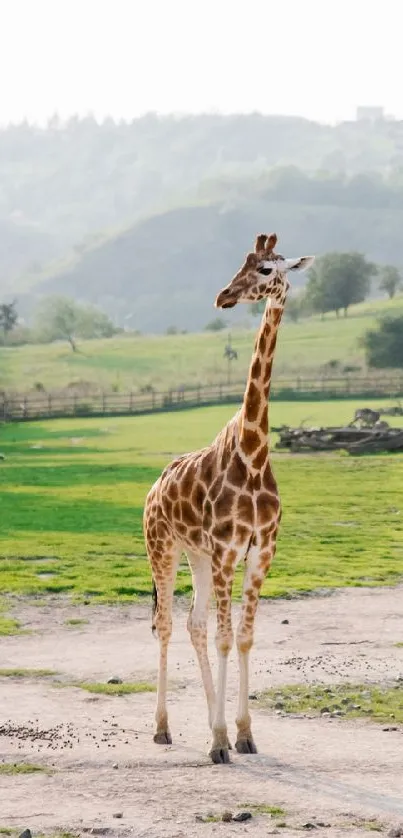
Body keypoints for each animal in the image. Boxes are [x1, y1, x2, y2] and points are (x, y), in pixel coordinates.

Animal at [144, 233, 318, 764]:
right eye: (241, 263)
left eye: (265, 269)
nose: (223, 296)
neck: (254, 453)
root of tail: (154, 487)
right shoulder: (226, 550)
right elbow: (225, 638)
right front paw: (220, 740)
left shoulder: (259, 552)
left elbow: (242, 637)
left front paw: (240, 733)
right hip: (163, 548)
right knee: (167, 624)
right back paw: (163, 728)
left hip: (196, 556)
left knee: (194, 624)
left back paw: (205, 720)